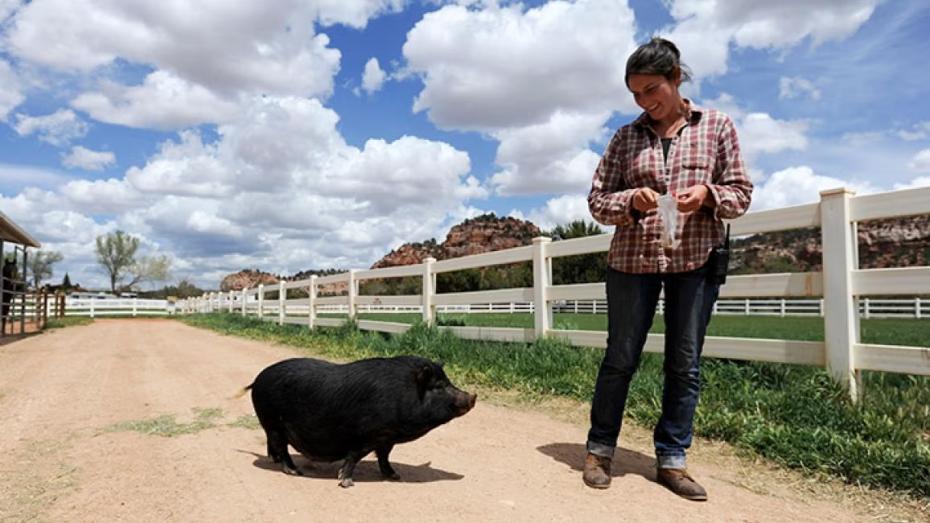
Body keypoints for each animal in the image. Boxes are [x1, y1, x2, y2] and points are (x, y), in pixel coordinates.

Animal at [242, 355, 477, 487]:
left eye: (448, 381)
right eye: (438, 386)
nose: (473, 396)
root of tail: (257, 379)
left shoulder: (386, 437)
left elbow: (384, 457)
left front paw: (395, 476)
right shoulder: (367, 435)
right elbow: (355, 456)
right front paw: (346, 483)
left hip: (270, 425)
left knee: (273, 445)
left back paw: (275, 461)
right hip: (273, 422)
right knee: (282, 447)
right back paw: (294, 471)